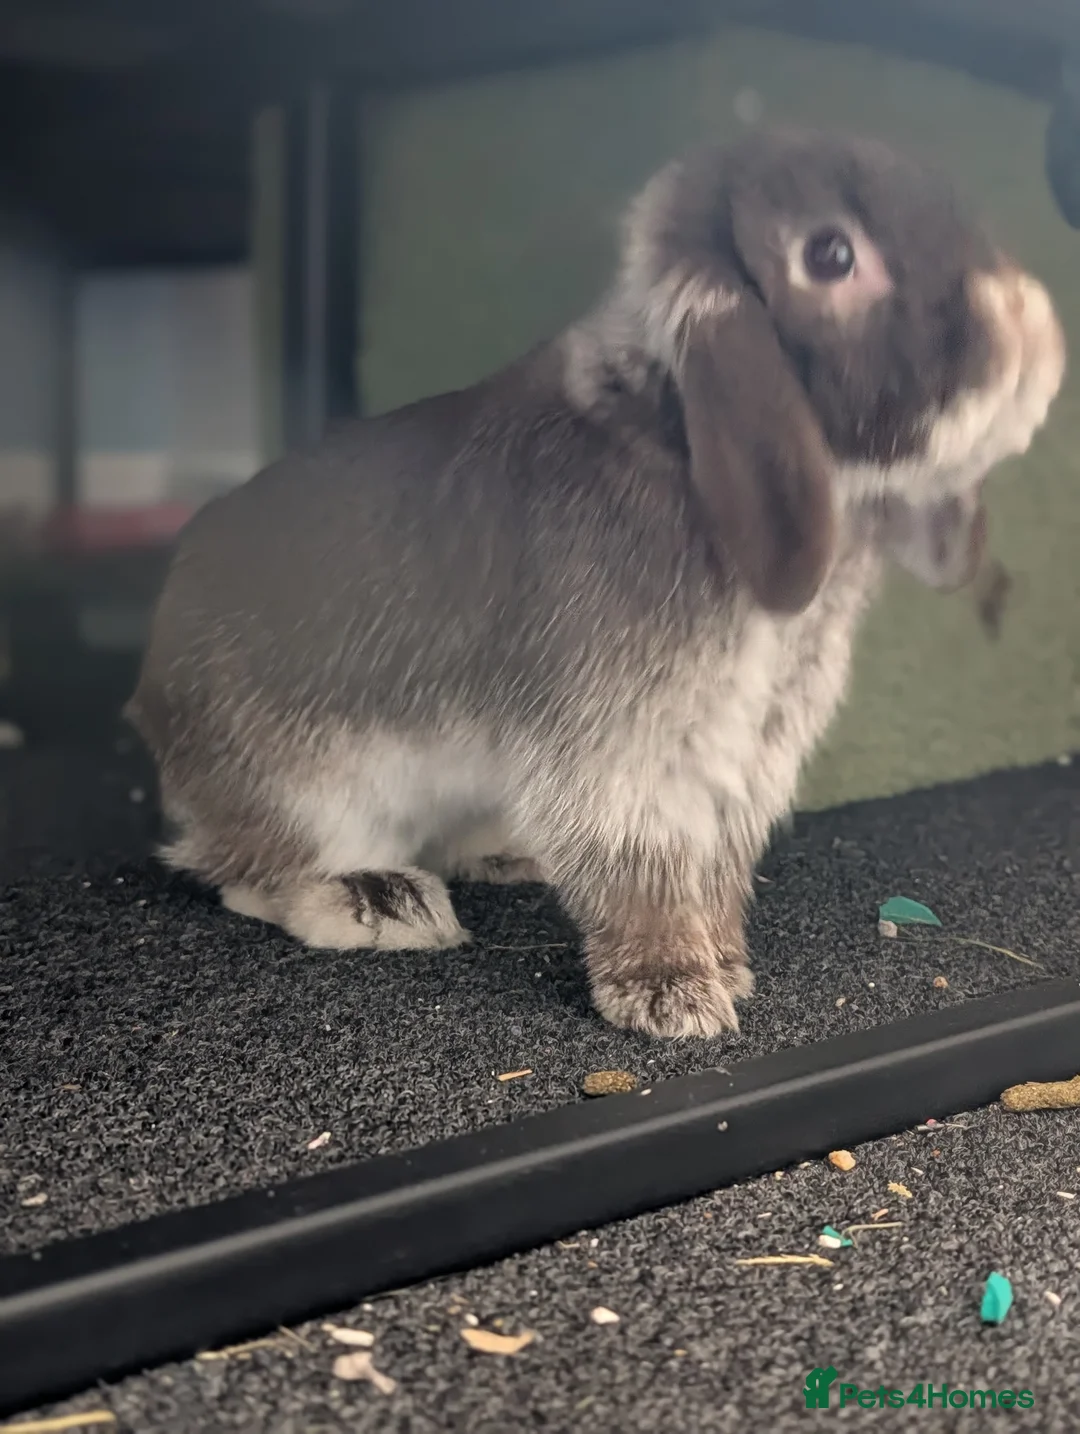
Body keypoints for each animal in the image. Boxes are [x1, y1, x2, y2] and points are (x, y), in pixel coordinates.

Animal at [127, 127, 1066, 1040]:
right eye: (830, 254)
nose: (1034, 326)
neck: (667, 431)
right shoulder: (616, 747)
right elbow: (639, 861)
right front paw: (672, 993)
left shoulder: (750, 754)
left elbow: (718, 865)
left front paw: (726, 963)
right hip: (303, 789)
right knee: (237, 868)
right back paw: (378, 899)